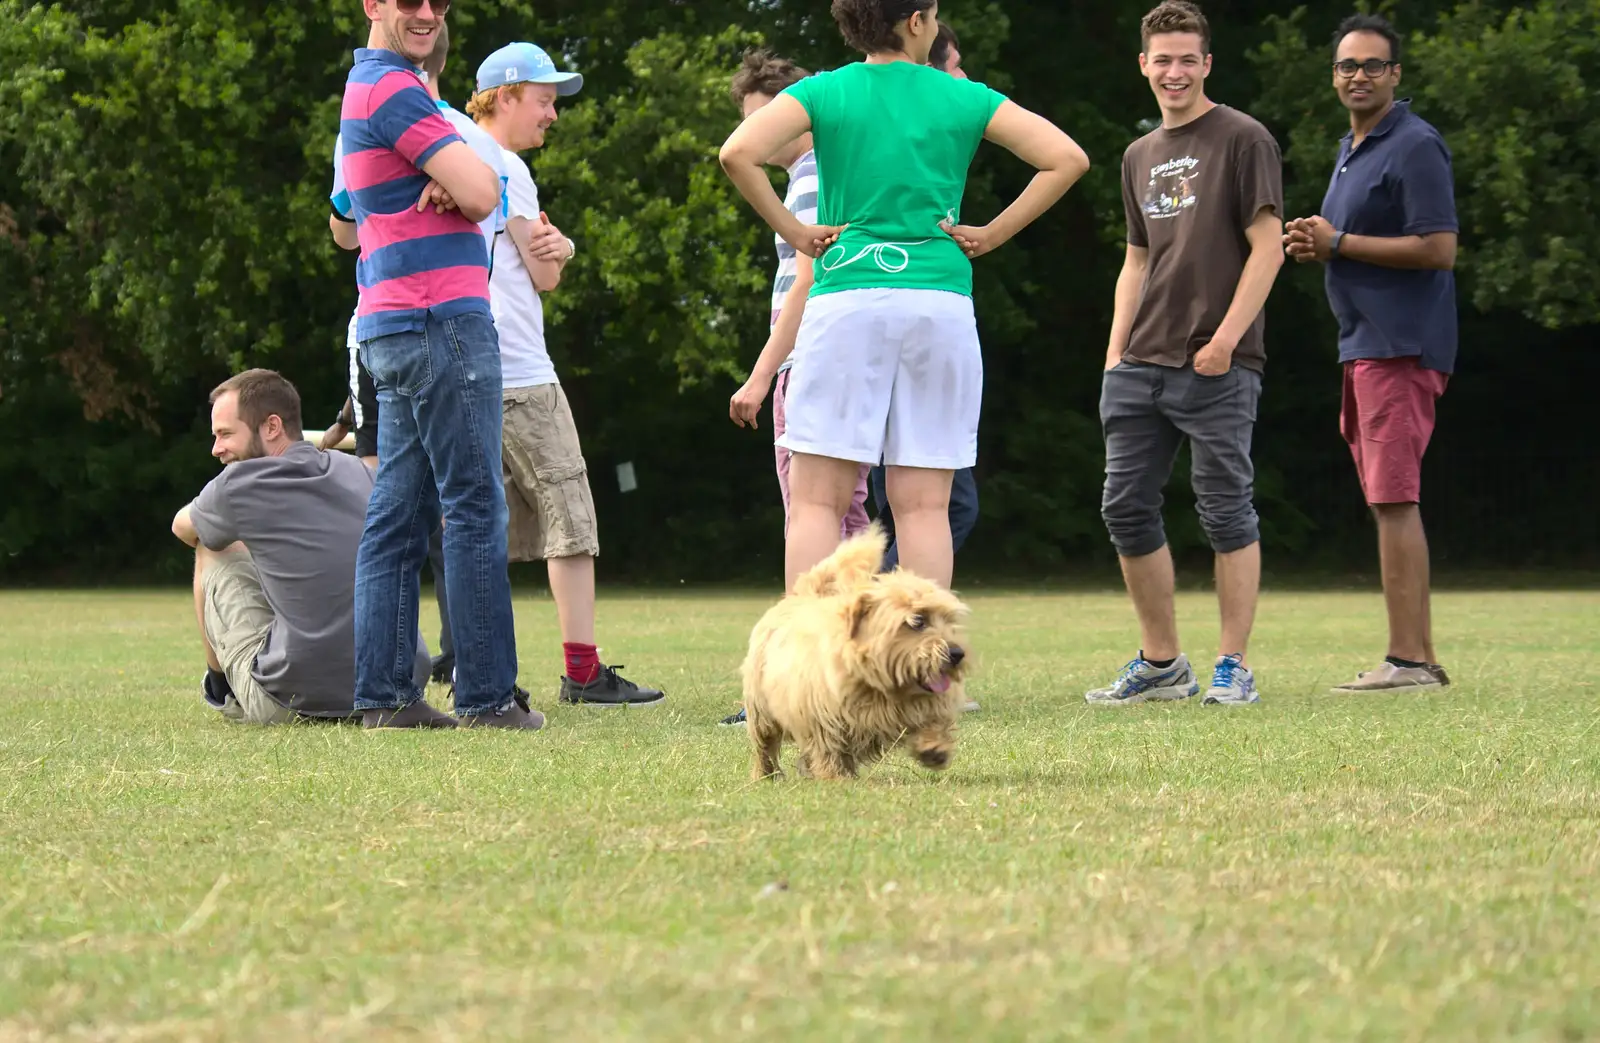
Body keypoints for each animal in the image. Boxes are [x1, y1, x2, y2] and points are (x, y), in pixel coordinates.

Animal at [742, 524, 966, 777]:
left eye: (949, 620)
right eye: (917, 621)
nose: (957, 654)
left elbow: (933, 714)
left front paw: (935, 747)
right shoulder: (822, 715)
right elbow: (828, 747)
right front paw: (834, 777)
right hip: (760, 708)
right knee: (764, 744)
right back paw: (765, 774)